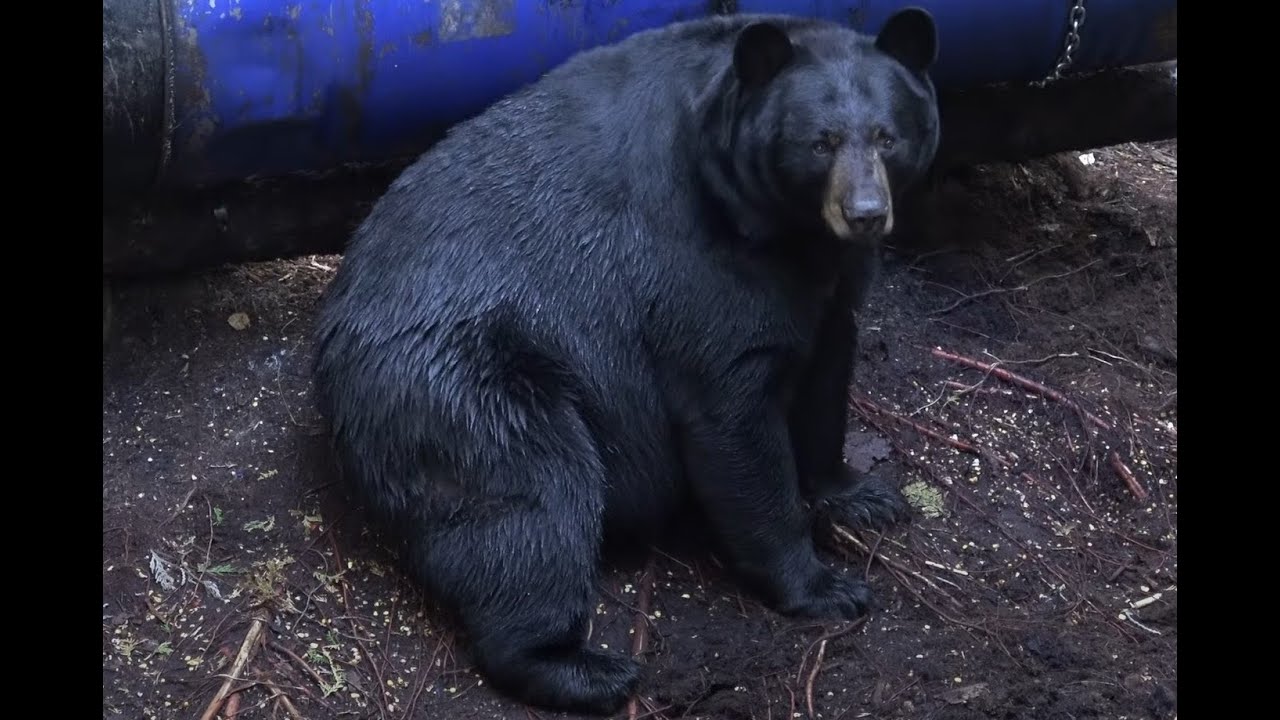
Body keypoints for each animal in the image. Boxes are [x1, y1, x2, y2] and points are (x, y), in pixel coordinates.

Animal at [312, 8, 940, 716]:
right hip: (467, 391)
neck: (783, 229)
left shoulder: (829, 284)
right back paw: (584, 668)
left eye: (887, 137)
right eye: (820, 143)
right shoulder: (699, 264)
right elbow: (733, 418)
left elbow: (827, 377)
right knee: (533, 505)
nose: (865, 213)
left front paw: (861, 493)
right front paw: (823, 585)